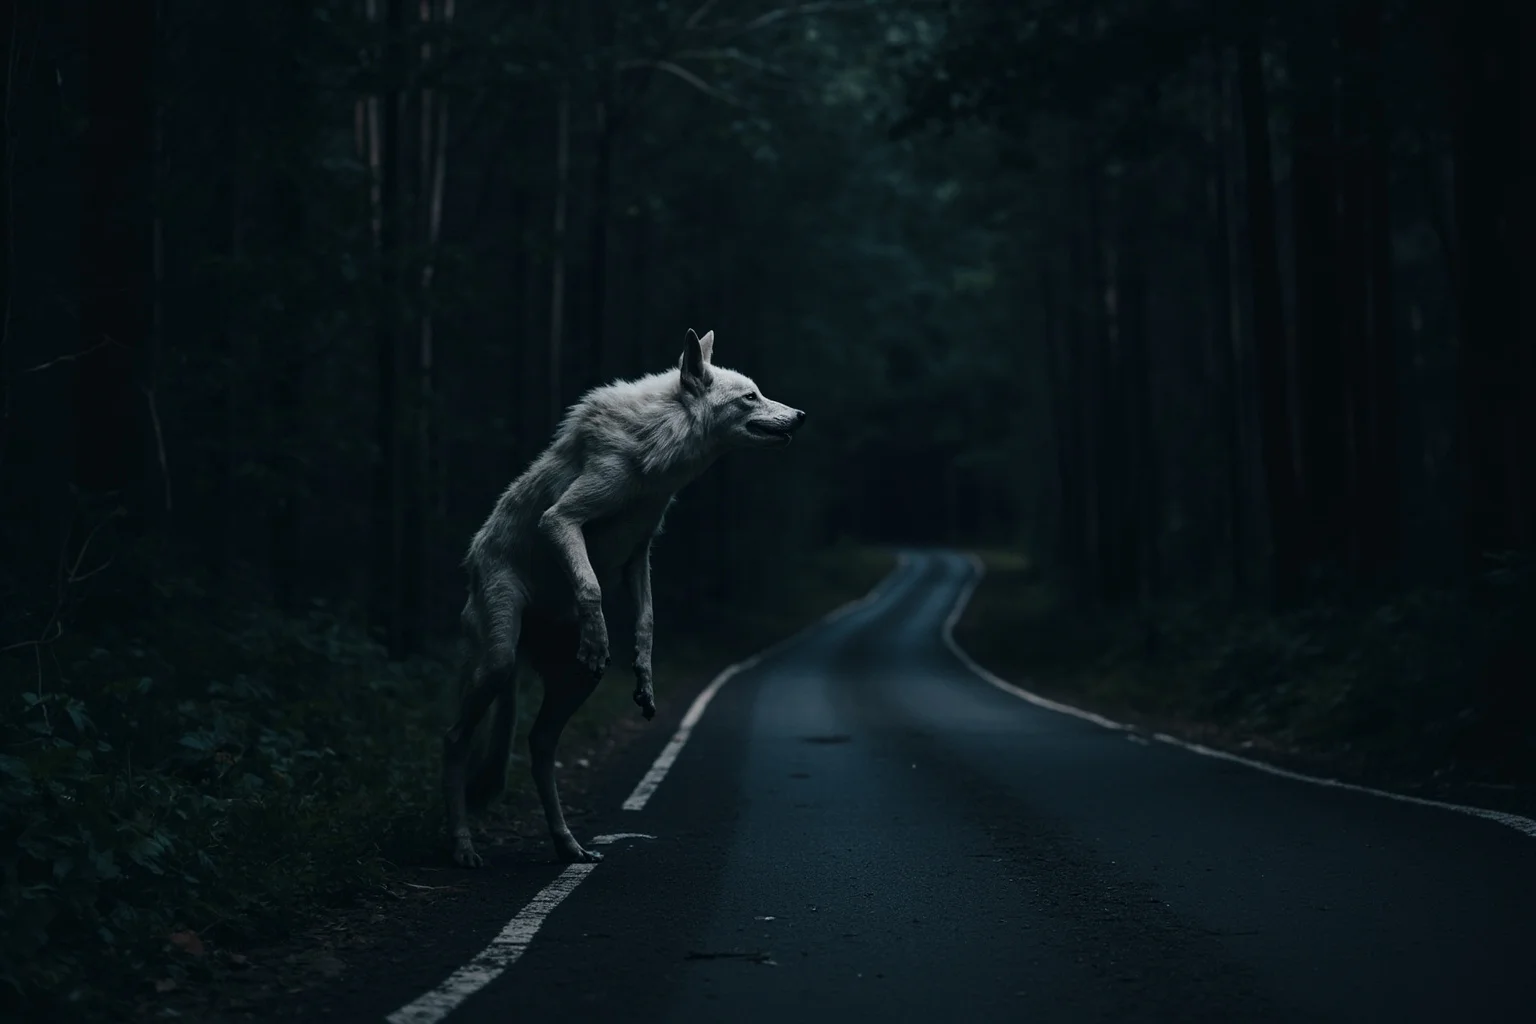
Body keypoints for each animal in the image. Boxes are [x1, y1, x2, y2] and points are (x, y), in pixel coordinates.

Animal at [443, 327, 807, 867]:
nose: (801, 415)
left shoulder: (640, 553)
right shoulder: (561, 520)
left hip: (575, 683)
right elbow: (591, 586)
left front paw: (645, 677)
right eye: (750, 397)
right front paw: (598, 637)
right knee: (455, 740)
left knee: (538, 744)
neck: (656, 458)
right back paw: (463, 845)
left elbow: (647, 622)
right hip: (498, 662)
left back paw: (568, 844)